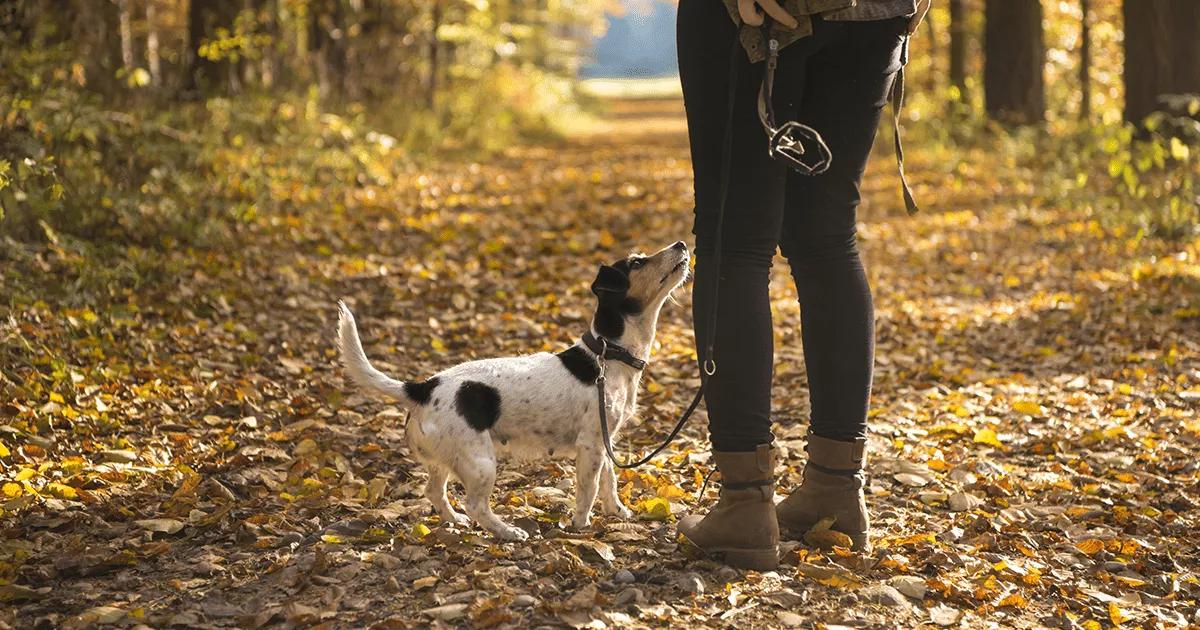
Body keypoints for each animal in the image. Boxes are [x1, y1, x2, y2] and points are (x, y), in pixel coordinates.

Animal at [338, 241, 696, 540]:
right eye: (637, 262)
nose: (681, 243)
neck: (608, 354)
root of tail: (422, 388)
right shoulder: (591, 444)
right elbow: (589, 488)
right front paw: (582, 525)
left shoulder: (606, 441)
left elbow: (610, 481)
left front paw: (617, 511)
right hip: (481, 461)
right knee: (476, 505)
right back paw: (507, 531)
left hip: (444, 459)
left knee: (434, 492)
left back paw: (454, 520)